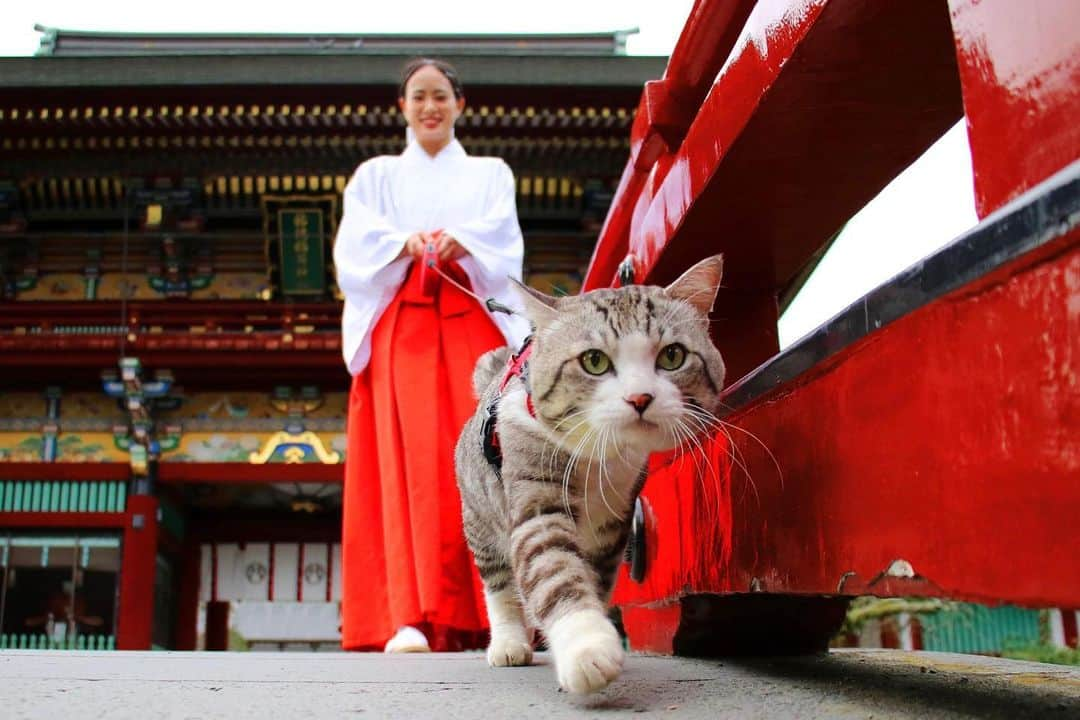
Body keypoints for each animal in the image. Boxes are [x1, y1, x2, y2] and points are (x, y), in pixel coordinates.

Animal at [455, 253, 725, 690]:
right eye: (594, 361)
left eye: (673, 356)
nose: (640, 397)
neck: (600, 456)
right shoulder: (535, 495)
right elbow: (554, 568)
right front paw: (586, 648)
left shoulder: (613, 522)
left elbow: (594, 577)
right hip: (479, 520)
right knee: (500, 585)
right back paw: (510, 644)